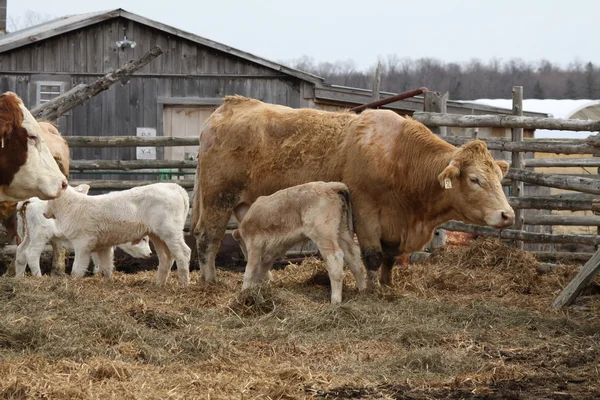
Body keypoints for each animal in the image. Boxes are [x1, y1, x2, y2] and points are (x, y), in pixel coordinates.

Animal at [43, 183, 191, 286]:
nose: (44, 213)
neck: (71, 207)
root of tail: (174, 187)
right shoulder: (103, 246)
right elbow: (106, 267)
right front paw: (107, 282)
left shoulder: (82, 243)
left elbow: (78, 268)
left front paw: (74, 281)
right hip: (158, 235)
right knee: (167, 257)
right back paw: (159, 283)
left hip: (170, 231)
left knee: (183, 252)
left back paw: (184, 283)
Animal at [191, 95, 510, 286]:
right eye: (475, 180)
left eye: (498, 177)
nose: (507, 214)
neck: (400, 157)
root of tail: (229, 107)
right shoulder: (366, 209)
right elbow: (373, 255)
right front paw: (371, 289)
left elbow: (390, 257)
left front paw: (387, 285)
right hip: (218, 198)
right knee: (208, 238)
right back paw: (210, 281)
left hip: (247, 204)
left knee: (243, 240)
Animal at [233, 180, 366, 304]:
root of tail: (332, 186)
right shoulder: (269, 255)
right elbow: (261, 272)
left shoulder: (255, 244)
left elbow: (249, 271)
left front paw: (244, 294)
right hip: (341, 232)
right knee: (353, 256)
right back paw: (362, 290)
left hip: (323, 233)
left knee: (335, 258)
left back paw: (335, 300)